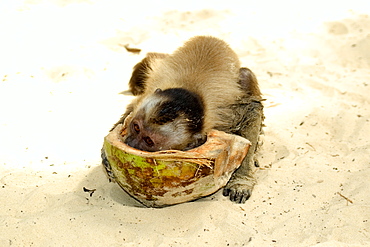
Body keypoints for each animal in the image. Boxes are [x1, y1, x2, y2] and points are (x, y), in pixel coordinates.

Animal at [110, 36, 264, 203]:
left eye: (148, 141)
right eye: (136, 127)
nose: (131, 143)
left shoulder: (229, 113)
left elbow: (251, 111)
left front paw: (241, 180)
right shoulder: (145, 96)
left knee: (246, 76)